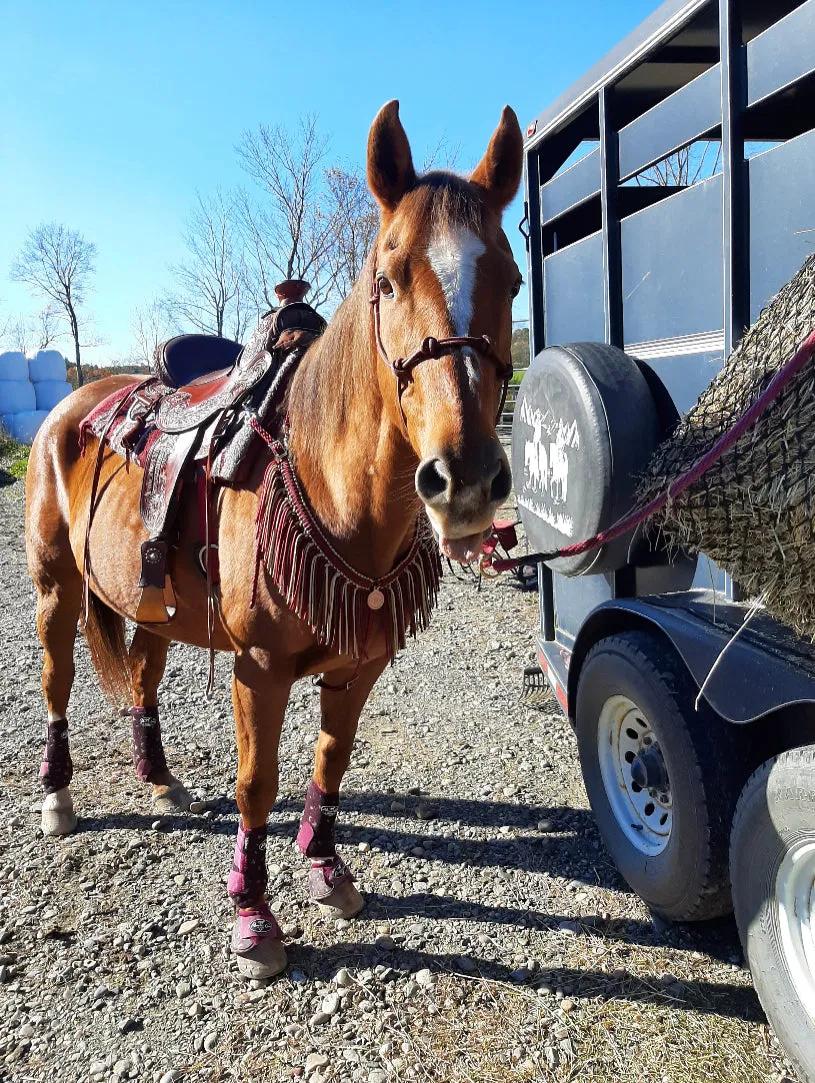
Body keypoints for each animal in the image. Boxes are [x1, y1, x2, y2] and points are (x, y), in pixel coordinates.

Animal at [25, 103, 523, 983]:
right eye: (387, 280)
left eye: (513, 281)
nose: (463, 476)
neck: (330, 479)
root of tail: (72, 408)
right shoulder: (258, 668)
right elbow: (258, 783)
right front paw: (253, 917)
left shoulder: (358, 661)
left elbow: (331, 758)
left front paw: (327, 868)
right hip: (54, 590)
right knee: (57, 684)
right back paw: (58, 795)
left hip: (152, 607)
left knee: (144, 680)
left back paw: (161, 780)